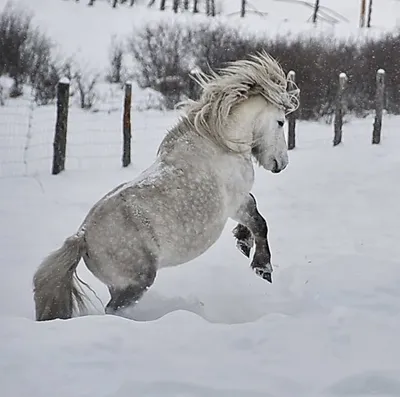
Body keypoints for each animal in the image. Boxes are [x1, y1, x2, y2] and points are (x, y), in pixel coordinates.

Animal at [32, 52, 298, 320]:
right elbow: (259, 221)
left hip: (119, 285)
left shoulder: (239, 201)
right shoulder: (236, 202)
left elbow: (255, 212)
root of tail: (83, 237)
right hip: (136, 283)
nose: (281, 163)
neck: (219, 141)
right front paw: (262, 267)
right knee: (114, 309)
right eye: (280, 122)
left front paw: (243, 242)